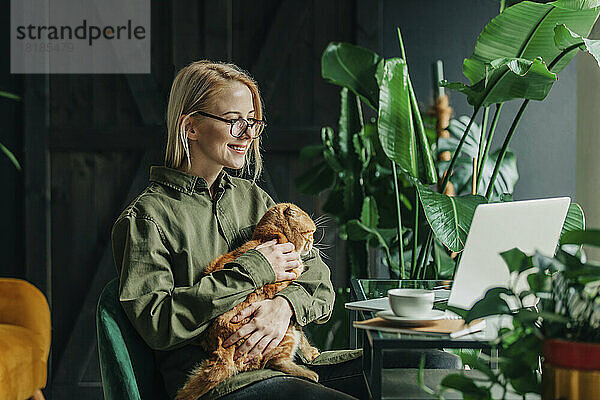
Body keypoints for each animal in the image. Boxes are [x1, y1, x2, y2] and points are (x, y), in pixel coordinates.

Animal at [176, 203, 322, 400]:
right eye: (310, 233)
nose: (313, 242)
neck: (271, 236)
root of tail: (223, 354)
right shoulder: (283, 295)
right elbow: (302, 334)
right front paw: (309, 354)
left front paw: (310, 353)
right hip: (283, 333)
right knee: (276, 361)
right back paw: (308, 373)